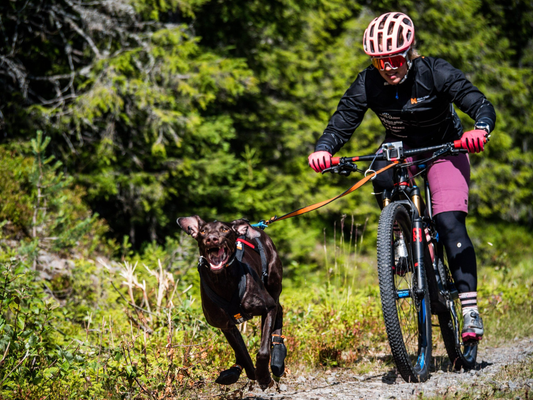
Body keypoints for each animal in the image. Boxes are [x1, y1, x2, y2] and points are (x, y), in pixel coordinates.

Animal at [178, 217, 286, 390]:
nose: (211, 239)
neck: (223, 280)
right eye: (203, 231)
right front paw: (253, 373)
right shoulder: (225, 326)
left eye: (224, 229)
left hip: (273, 286)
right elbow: (243, 353)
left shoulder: (268, 307)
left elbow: (263, 351)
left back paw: (277, 355)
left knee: (278, 311)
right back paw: (235, 370)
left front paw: (263, 376)